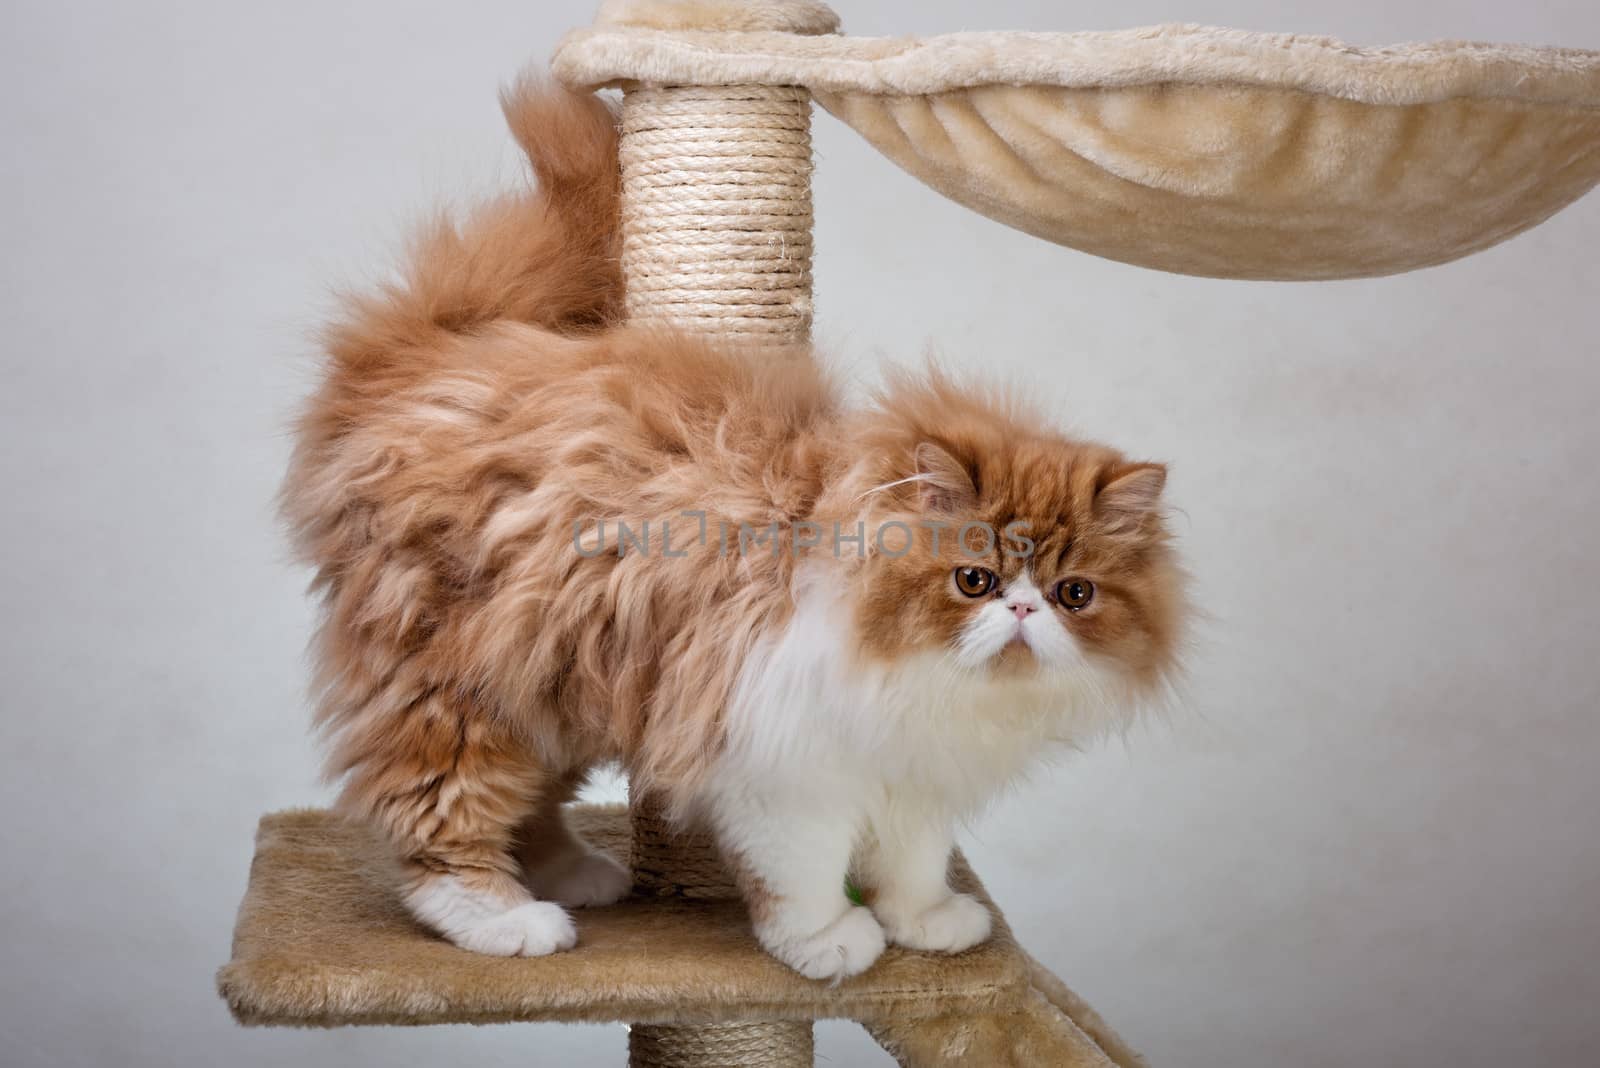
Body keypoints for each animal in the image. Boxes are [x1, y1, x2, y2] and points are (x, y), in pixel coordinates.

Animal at [284, 85, 1190, 978]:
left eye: (1075, 594)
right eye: (975, 581)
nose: (1024, 611)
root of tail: (427, 347)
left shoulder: (911, 768)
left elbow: (913, 860)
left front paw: (926, 923)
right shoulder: (782, 758)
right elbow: (806, 871)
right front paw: (829, 944)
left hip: (556, 679)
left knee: (530, 807)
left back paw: (577, 877)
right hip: (457, 680)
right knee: (443, 820)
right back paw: (510, 920)